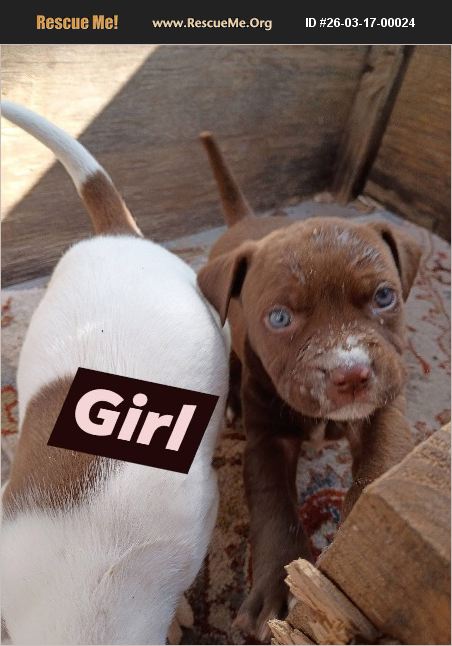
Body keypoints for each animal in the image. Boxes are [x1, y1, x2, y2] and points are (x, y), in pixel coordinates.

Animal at [197, 132, 422, 641]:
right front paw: (277, 592)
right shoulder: (268, 441)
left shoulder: (383, 409)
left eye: (384, 296)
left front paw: (358, 548)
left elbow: (377, 469)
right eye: (280, 318)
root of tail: (247, 220)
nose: (350, 373)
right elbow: (275, 510)